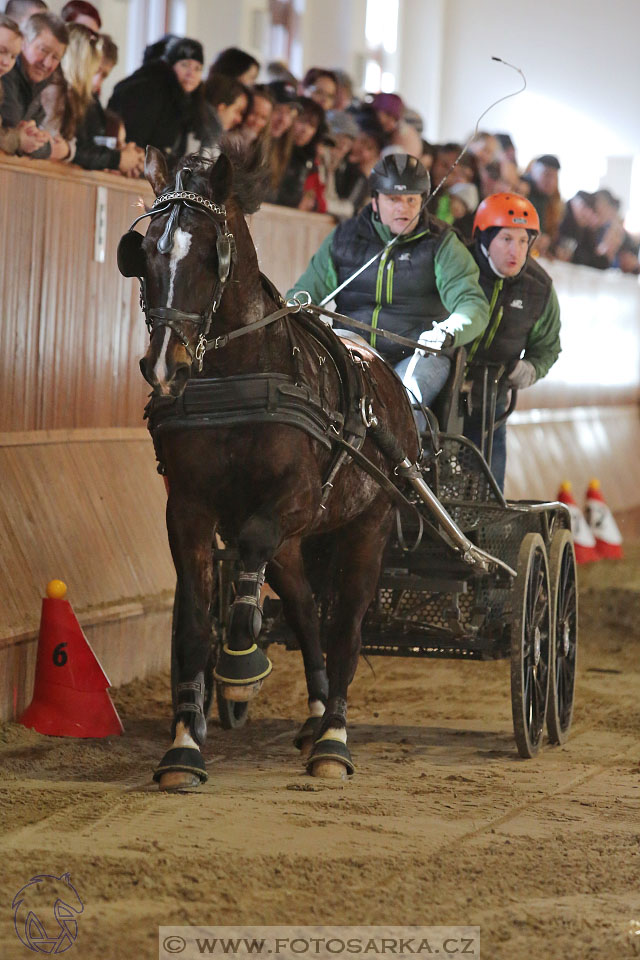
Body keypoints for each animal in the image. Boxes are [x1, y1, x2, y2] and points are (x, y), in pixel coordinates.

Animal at [120, 142, 420, 788]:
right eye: (146, 252)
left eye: (211, 255)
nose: (164, 365)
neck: (237, 380)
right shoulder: (188, 508)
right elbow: (193, 621)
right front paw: (184, 745)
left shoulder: (296, 500)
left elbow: (251, 570)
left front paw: (240, 665)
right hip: (298, 545)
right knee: (307, 611)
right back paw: (313, 715)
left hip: (368, 525)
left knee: (345, 626)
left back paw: (332, 739)